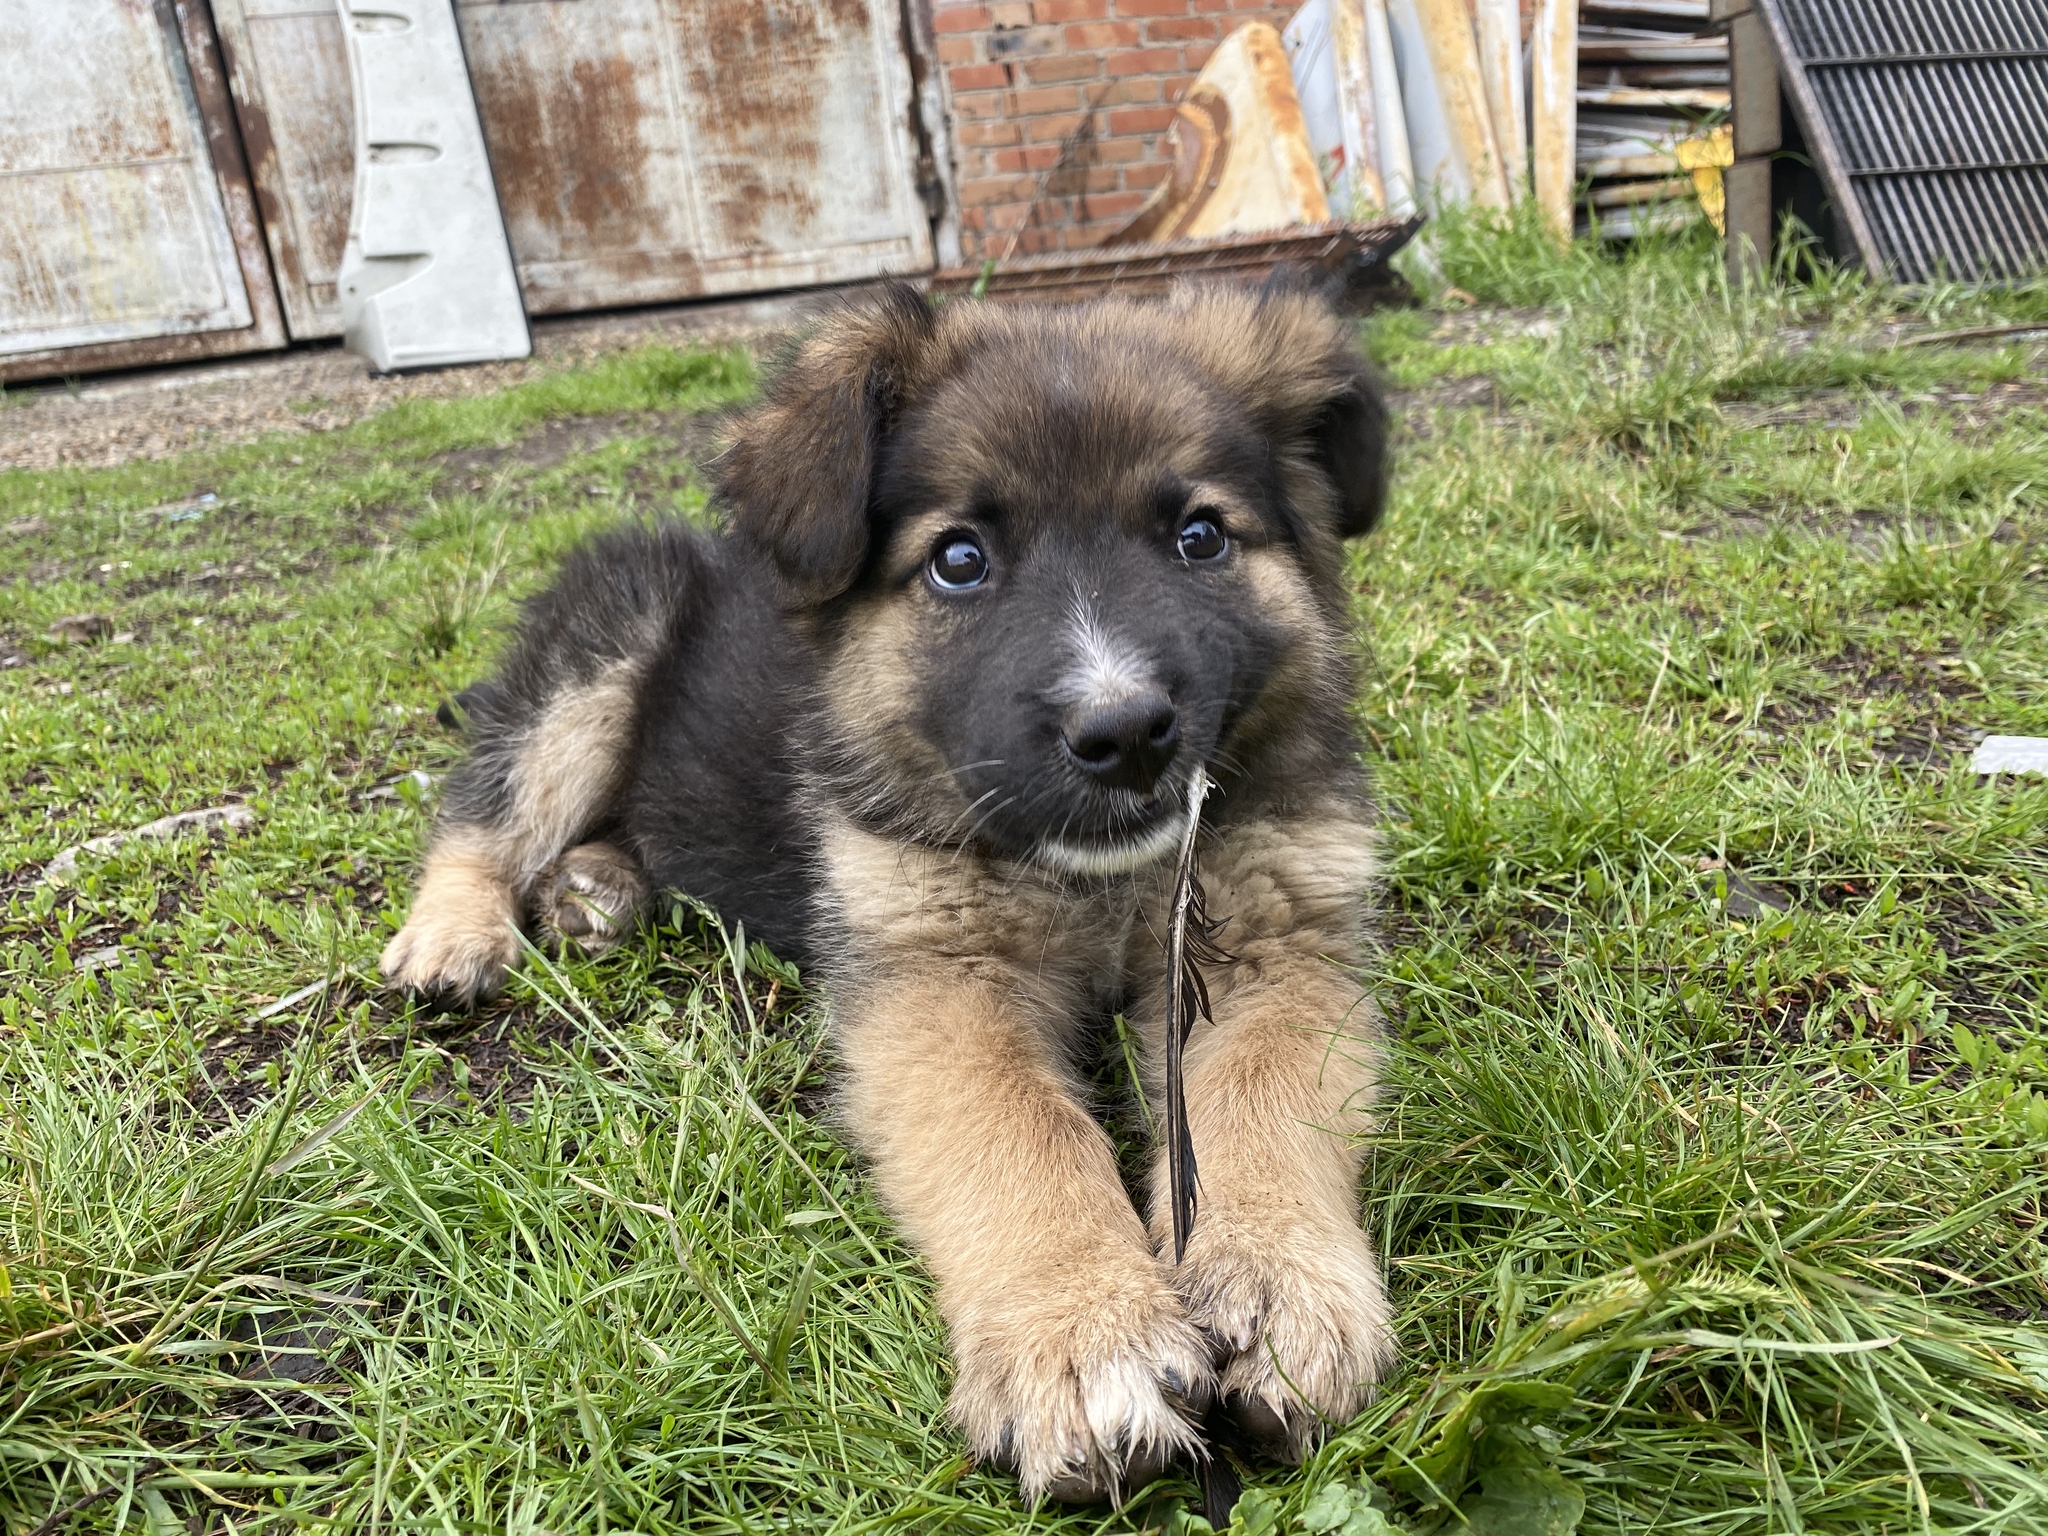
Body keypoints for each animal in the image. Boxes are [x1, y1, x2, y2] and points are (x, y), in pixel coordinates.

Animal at [382, 282, 1400, 1507]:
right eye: (958, 559)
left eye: (1199, 537)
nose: (1124, 736)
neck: (1103, 881)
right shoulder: (931, 970)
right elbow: (1015, 1127)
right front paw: (1079, 1335)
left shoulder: (1268, 943)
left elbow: (1261, 1099)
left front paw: (1279, 1293)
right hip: (610, 632)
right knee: (490, 802)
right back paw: (453, 935)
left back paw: (598, 886)